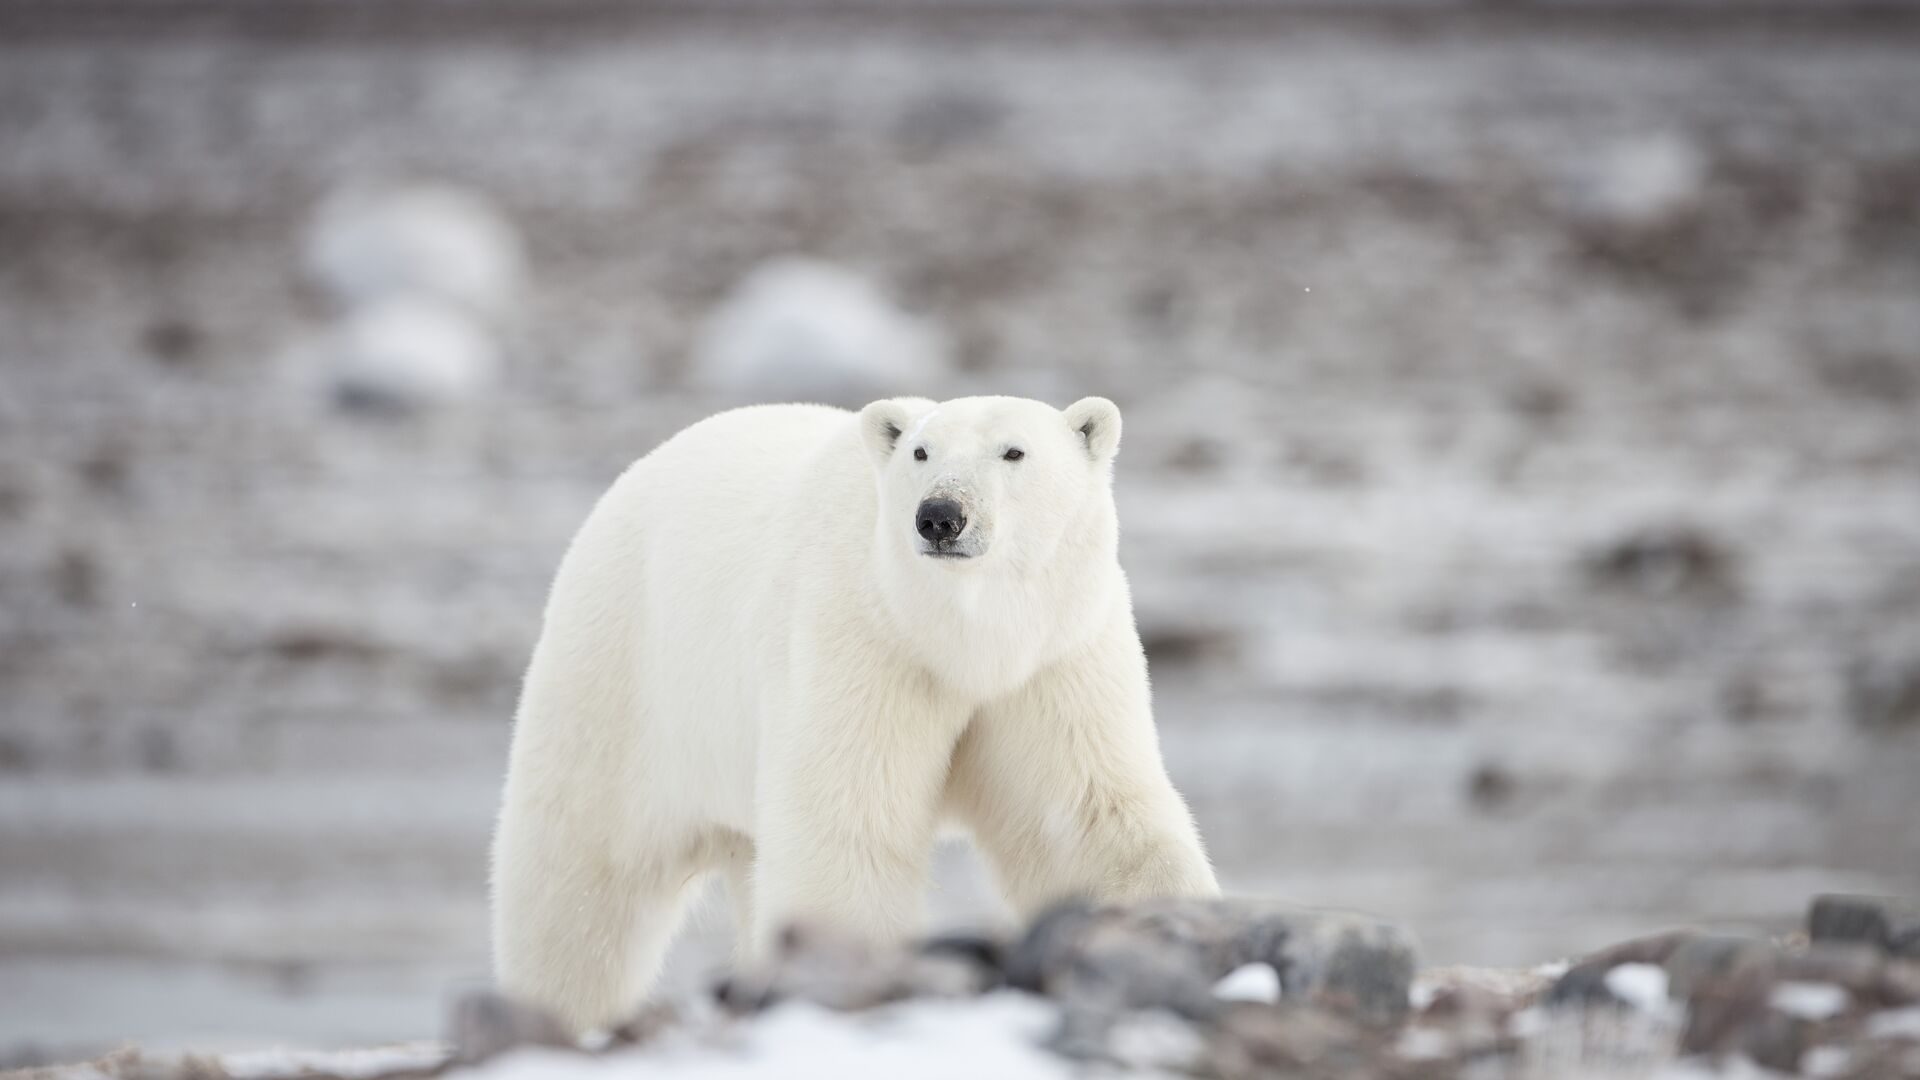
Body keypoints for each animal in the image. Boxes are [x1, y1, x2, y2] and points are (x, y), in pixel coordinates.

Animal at [490, 395, 1218, 1033]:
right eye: (921, 451)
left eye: (1014, 451)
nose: (940, 515)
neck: (960, 638)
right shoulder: (863, 643)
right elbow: (846, 823)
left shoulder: (1053, 659)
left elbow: (1087, 816)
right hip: (625, 682)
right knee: (578, 885)